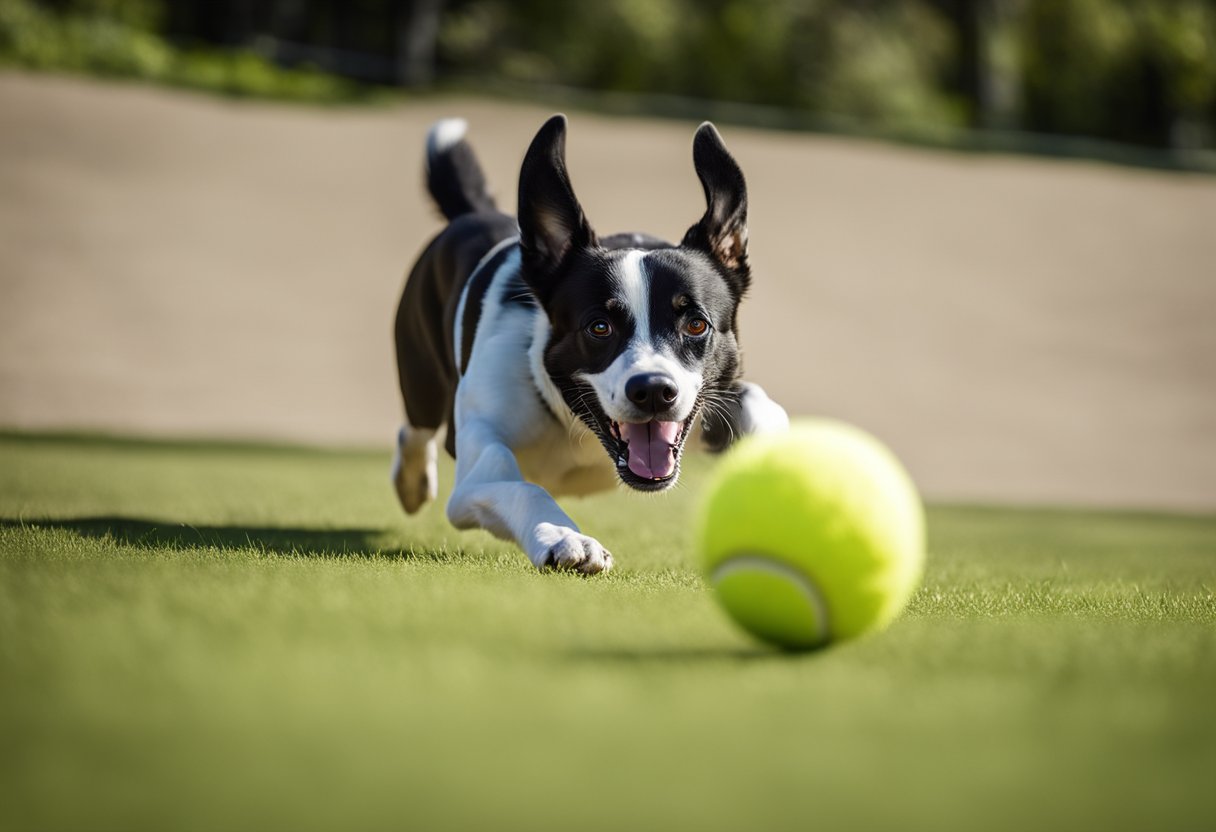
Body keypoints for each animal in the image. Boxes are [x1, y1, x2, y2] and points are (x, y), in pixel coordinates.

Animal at [391, 115, 787, 571]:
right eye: (599, 327)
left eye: (696, 325)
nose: (654, 391)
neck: (578, 425)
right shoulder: (474, 480)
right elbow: (516, 483)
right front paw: (563, 536)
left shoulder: (713, 398)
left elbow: (757, 403)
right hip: (420, 378)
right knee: (415, 430)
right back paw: (412, 483)